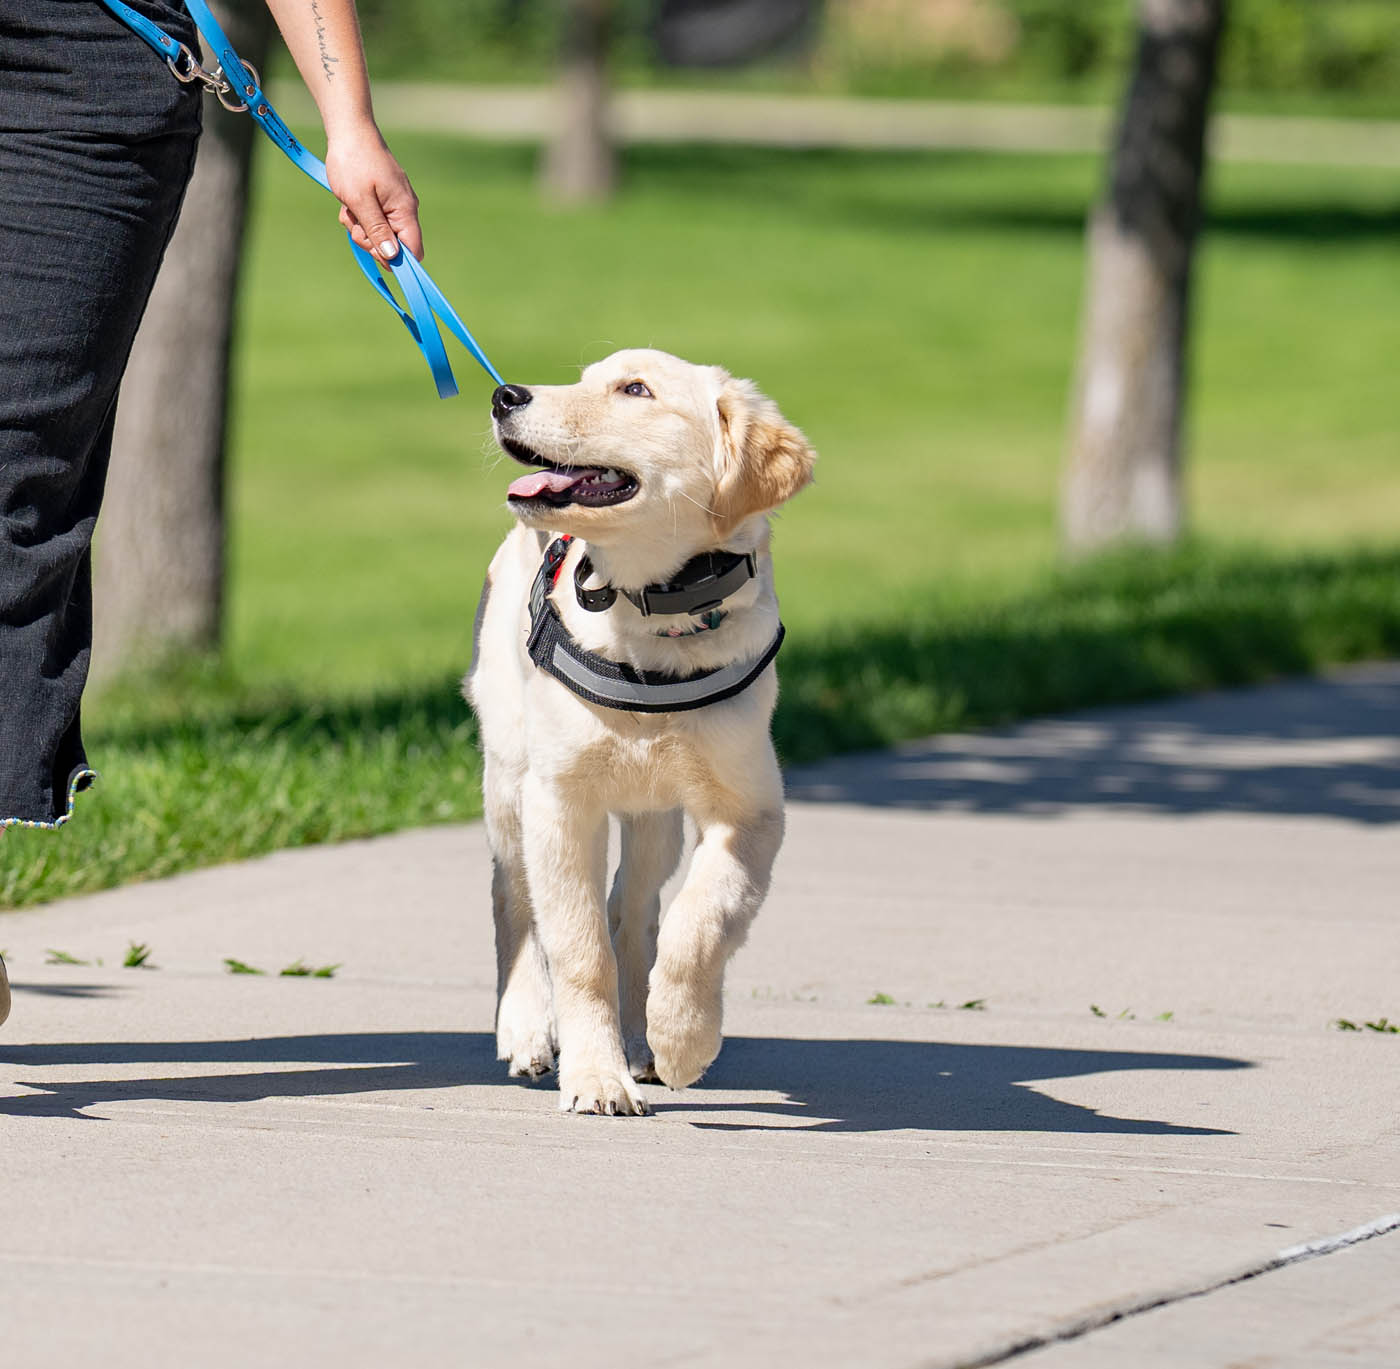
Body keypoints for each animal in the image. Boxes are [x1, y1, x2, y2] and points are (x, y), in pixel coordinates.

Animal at [464, 347, 817, 1114]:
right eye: (586, 377)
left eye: (635, 390)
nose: (505, 395)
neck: (653, 617)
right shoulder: (559, 801)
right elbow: (578, 946)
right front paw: (595, 1075)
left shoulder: (751, 812)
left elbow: (697, 921)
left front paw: (681, 1038)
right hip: (508, 774)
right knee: (514, 899)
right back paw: (527, 1028)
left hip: (653, 814)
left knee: (637, 906)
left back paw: (639, 1039)